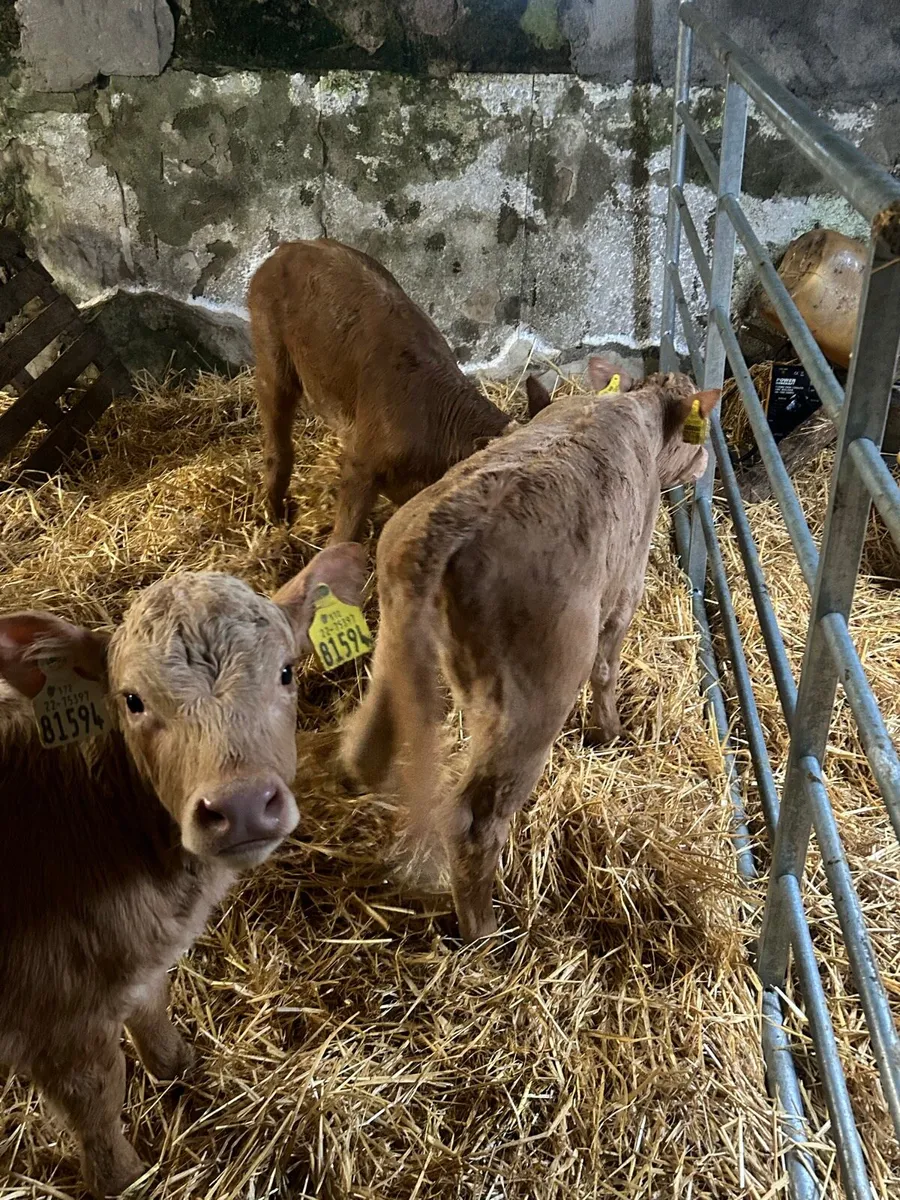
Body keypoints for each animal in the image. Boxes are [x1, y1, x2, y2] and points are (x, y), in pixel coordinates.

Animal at [0, 543, 366, 1197]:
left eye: (287, 672)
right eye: (132, 700)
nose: (241, 804)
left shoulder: (132, 964)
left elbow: (152, 1006)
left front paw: (178, 1066)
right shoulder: (57, 1018)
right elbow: (98, 1098)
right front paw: (124, 1179)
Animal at [248, 238, 551, 539]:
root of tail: (289, 247)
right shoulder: (362, 464)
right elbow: (345, 535)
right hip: (271, 353)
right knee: (277, 438)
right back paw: (276, 516)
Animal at [340, 374, 719, 943]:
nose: (706, 461)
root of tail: (450, 525)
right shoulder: (626, 585)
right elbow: (607, 668)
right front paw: (612, 733)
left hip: (395, 644)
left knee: (369, 743)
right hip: (533, 701)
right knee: (475, 820)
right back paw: (485, 931)